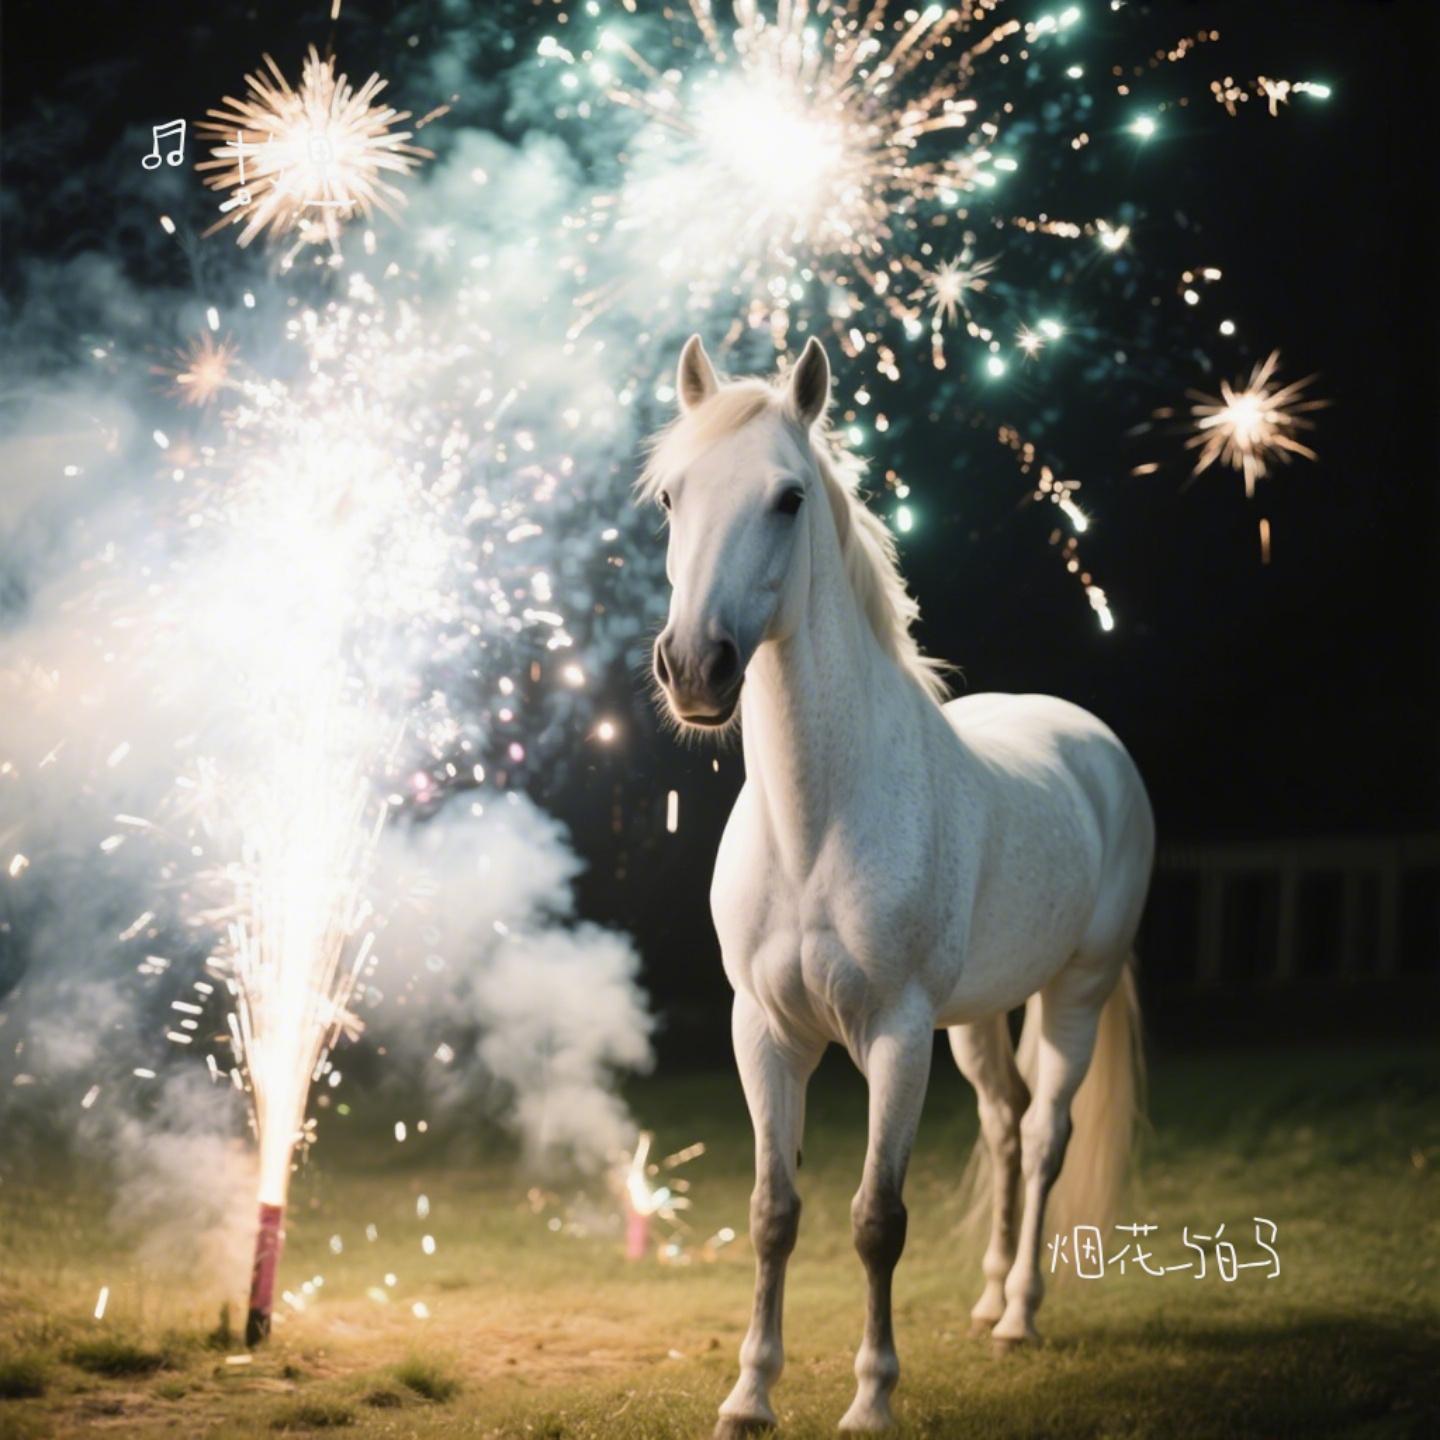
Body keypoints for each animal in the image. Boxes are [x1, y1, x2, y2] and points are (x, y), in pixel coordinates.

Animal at [641, 333, 1154, 1435]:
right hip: (981, 1018)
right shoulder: (766, 1032)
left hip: (1072, 996)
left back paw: (1021, 1314)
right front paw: (749, 1393)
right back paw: (991, 1296)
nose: (696, 669)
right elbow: (773, 1212)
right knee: (1004, 1129)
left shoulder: (895, 1036)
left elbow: (878, 1219)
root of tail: (1092, 743)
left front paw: (872, 1395)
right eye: (670, 496)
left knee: (1044, 1134)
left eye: (788, 498)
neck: (816, 825)